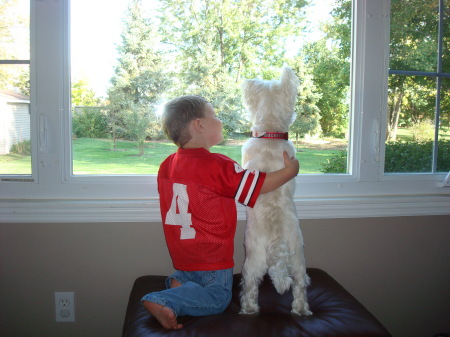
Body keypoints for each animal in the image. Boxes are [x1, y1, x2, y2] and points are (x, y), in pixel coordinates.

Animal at [241, 66, 312, 316]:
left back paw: (249, 309)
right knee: (300, 284)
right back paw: (301, 310)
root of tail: (277, 240)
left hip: (252, 260)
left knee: (251, 285)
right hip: (299, 256)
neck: (271, 133)